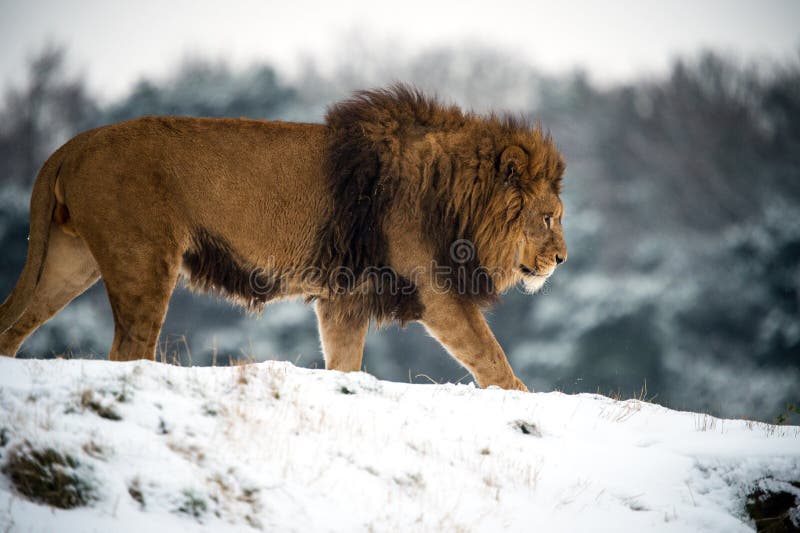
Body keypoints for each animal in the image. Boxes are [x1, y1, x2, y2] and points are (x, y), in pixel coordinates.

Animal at [0, 85, 566, 391]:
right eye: (548, 218)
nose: (562, 259)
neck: (457, 195)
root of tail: (72, 145)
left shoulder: (346, 296)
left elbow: (344, 361)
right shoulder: (436, 287)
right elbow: (490, 356)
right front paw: (525, 399)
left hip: (69, 260)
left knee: (13, 323)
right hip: (142, 261)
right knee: (125, 351)